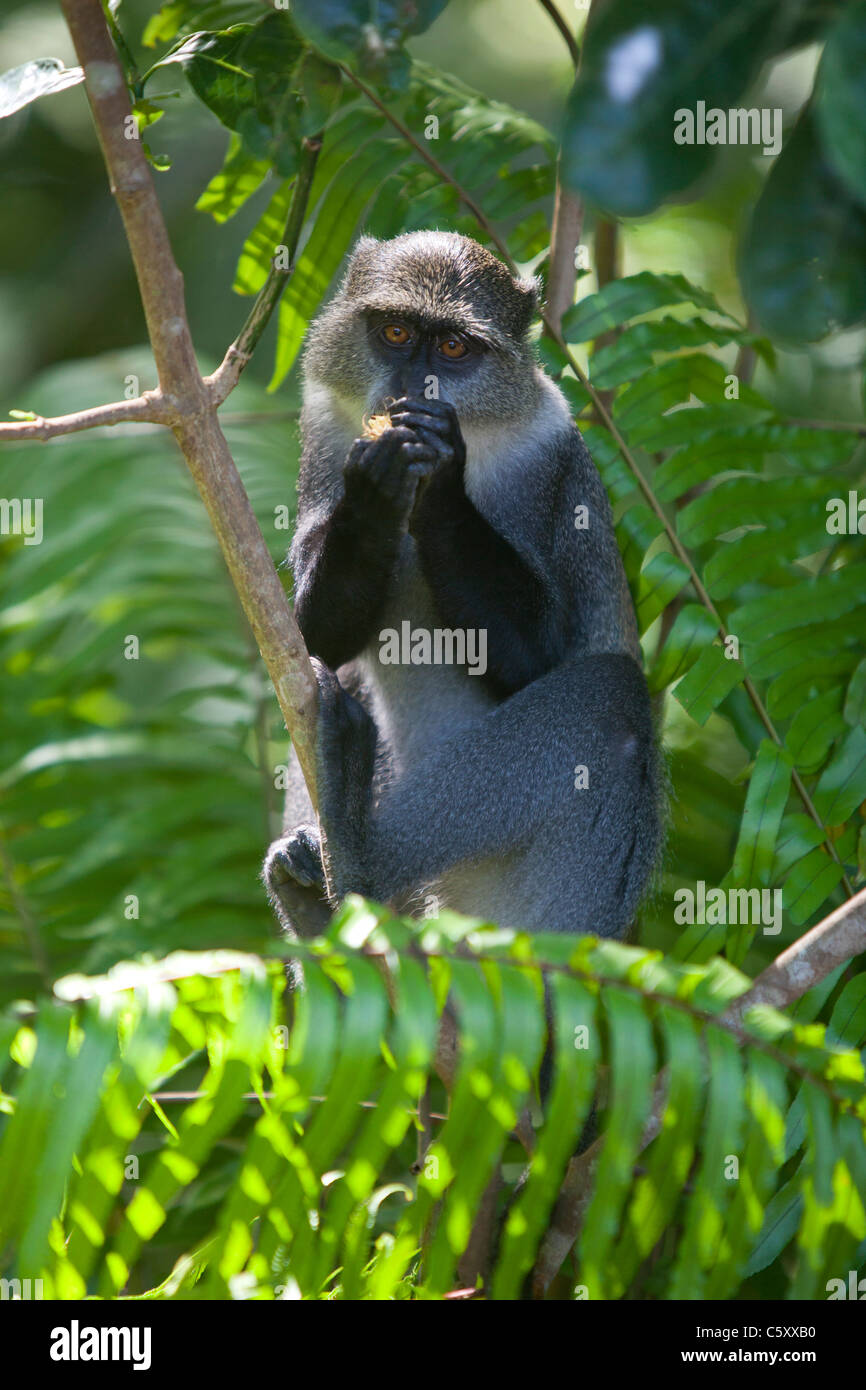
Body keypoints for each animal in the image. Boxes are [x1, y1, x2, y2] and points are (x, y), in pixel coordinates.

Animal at [264, 230, 664, 945]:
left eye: (453, 347)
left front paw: (442, 479)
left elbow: (539, 655)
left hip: (555, 908)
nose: (409, 386)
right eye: (396, 332)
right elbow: (315, 640)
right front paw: (373, 496)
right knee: (336, 676)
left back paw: (354, 853)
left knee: (611, 701)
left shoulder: (545, 461)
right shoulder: (324, 430)